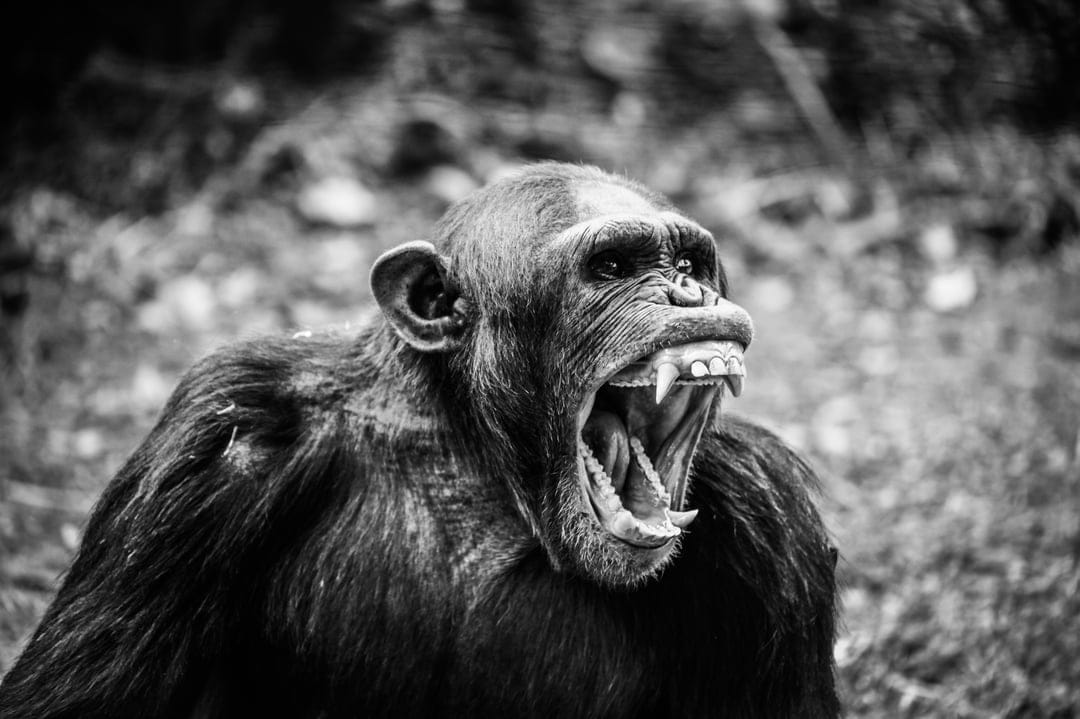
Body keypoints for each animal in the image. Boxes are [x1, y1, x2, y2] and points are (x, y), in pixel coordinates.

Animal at [0, 162, 839, 718]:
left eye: (690, 262)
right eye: (611, 265)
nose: (687, 292)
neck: (474, 461)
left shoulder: (768, 513)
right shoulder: (218, 435)